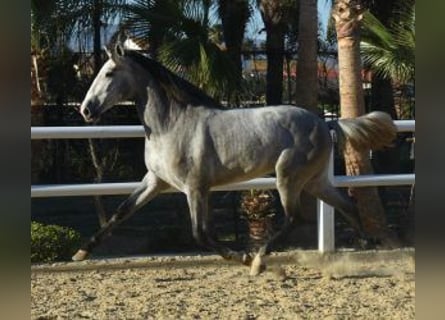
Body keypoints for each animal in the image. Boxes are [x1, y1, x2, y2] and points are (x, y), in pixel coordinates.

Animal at [73, 40, 396, 276]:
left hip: (288, 178)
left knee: (295, 218)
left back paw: (259, 262)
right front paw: (81, 252)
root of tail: (325, 123)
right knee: (347, 205)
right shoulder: (155, 181)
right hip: (314, 181)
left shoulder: (194, 188)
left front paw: (242, 257)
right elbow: (121, 212)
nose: (86, 110)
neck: (171, 125)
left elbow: (200, 234)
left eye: (109, 73)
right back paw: (369, 244)